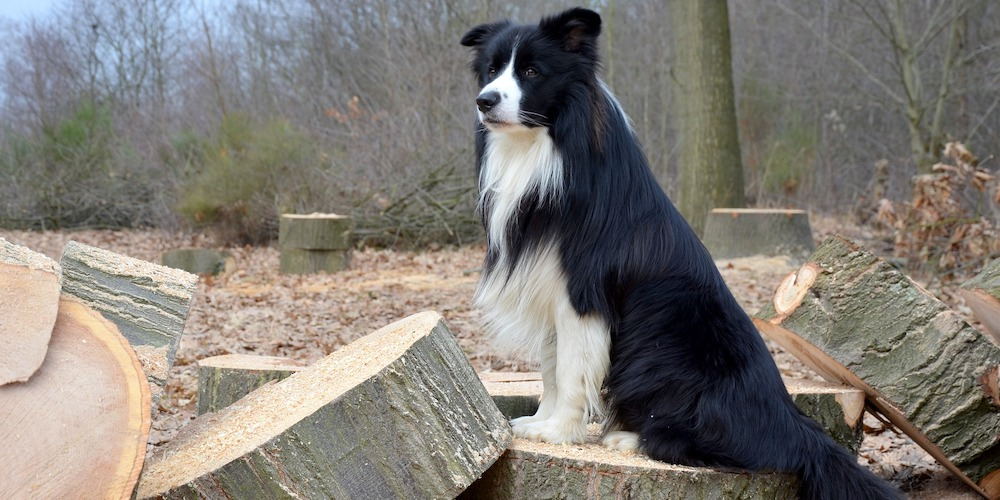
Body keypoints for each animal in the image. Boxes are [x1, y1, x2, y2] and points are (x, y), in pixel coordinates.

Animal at [464, 7, 904, 500]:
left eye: (532, 72)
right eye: (491, 70)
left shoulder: (582, 293)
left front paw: (558, 433)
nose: (484, 100)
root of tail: (797, 429)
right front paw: (540, 423)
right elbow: (552, 368)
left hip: (665, 353)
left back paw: (630, 437)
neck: (546, 148)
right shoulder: (547, 290)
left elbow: (573, 370)